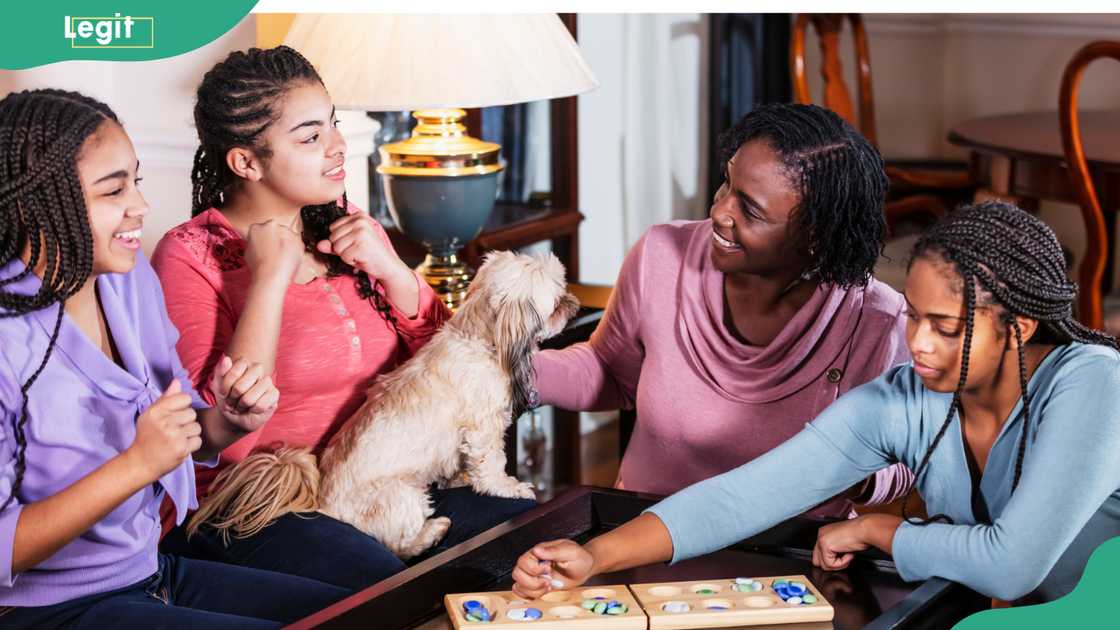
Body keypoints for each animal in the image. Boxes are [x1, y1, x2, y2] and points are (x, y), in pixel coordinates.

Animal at [190, 248, 577, 553]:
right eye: (557, 301)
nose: (573, 303)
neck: (478, 338)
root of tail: (321, 501)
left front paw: (458, 479)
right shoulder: (484, 429)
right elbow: (491, 465)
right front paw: (510, 487)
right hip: (401, 495)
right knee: (400, 545)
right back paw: (432, 532)